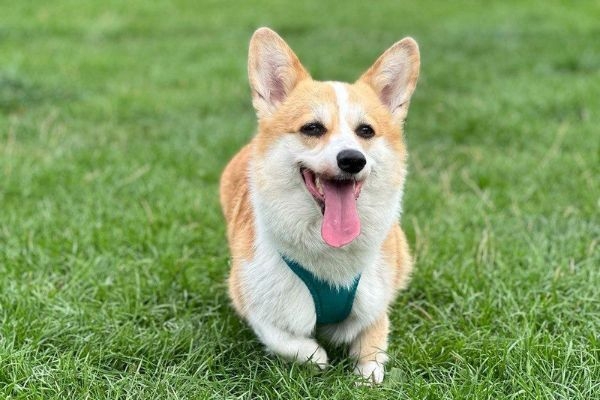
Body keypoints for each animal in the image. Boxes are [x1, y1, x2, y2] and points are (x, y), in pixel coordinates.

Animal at [220, 26, 422, 382]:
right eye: (312, 128)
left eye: (366, 131)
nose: (352, 160)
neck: (328, 251)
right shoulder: (253, 304)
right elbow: (292, 343)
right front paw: (318, 355)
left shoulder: (376, 304)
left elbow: (372, 342)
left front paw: (367, 374)